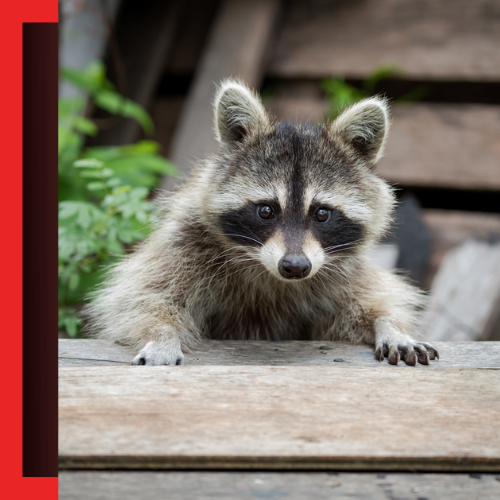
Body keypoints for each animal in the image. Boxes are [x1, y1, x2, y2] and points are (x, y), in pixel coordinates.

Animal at [85, 79, 438, 368]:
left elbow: (367, 303)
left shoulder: (342, 269)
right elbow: (144, 296)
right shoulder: (187, 241)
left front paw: (390, 325)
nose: (295, 266)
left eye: (321, 214)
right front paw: (161, 333)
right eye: (266, 211)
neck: (268, 271)